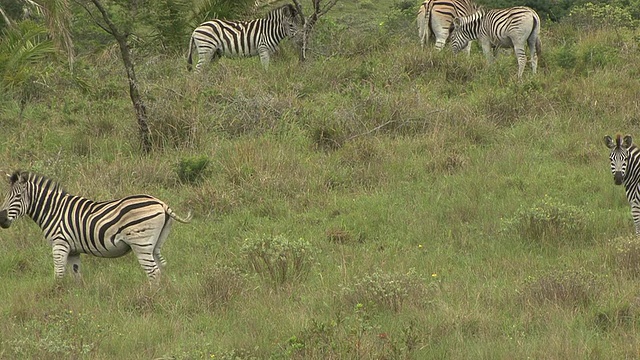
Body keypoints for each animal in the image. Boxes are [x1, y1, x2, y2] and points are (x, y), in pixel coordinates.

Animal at [0, 172, 191, 284]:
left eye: (17, 196)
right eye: (6, 195)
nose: (1, 219)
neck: (53, 210)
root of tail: (160, 203)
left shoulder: (60, 244)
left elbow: (58, 275)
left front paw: (57, 296)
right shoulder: (73, 250)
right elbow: (76, 276)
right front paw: (76, 298)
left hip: (140, 243)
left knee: (153, 272)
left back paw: (152, 297)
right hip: (155, 243)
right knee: (162, 267)